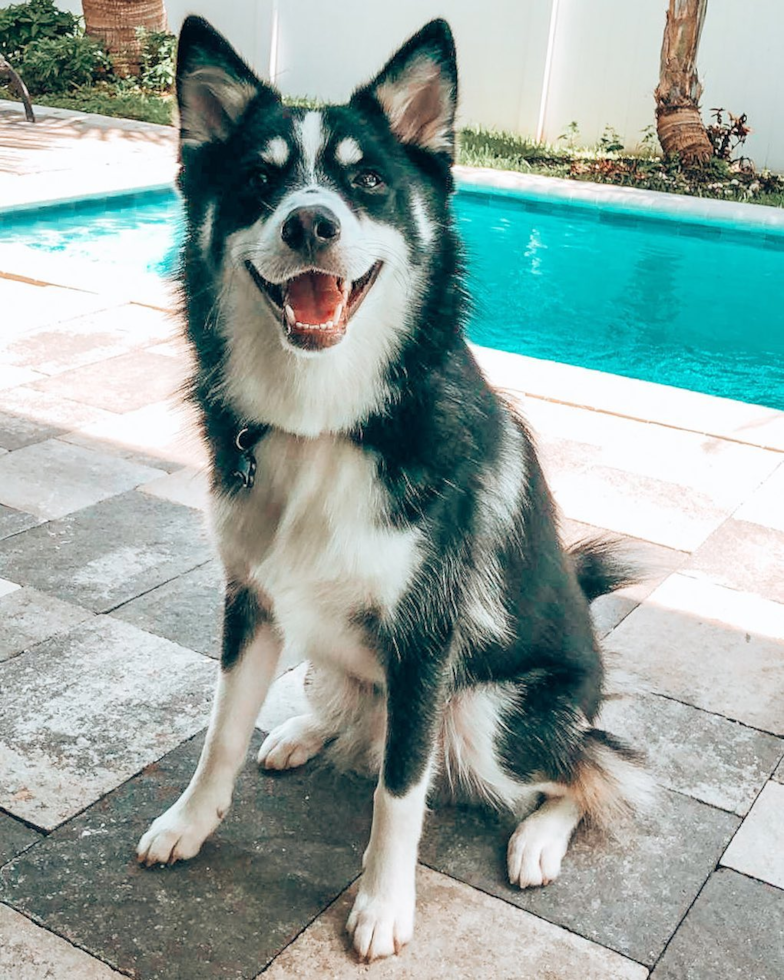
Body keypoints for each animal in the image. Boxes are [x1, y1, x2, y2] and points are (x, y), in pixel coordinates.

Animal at [136, 15, 648, 960]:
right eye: (259, 180)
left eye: (369, 179)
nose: (308, 222)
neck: (326, 424)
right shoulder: (250, 599)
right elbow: (220, 731)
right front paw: (189, 823)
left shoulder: (427, 642)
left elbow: (401, 792)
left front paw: (382, 906)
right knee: (353, 713)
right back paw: (305, 731)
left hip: (490, 712)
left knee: (588, 770)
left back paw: (538, 837)